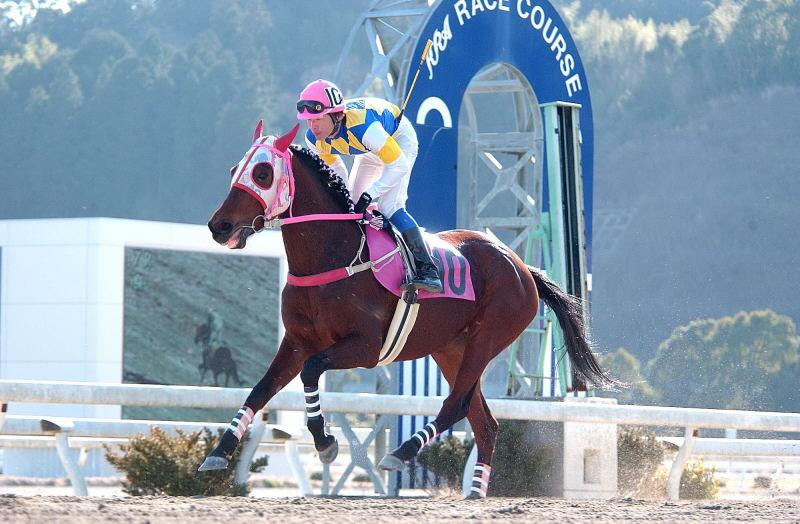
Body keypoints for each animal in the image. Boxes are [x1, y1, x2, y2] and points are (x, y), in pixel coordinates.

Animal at [200, 121, 612, 498]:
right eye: (234, 170)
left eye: (262, 173)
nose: (220, 226)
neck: (332, 254)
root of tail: (523, 267)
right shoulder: (297, 341)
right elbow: (260, 389)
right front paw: (219, 451)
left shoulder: (365, 347)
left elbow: (311, 371)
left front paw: (325, 441)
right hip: (450, 348)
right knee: (485, 423)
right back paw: (475, 492)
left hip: (487, 338)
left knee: (456, 405)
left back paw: (401, 452)